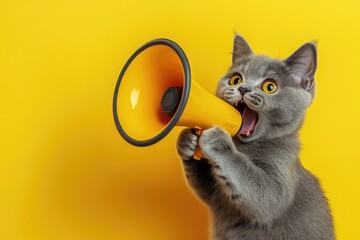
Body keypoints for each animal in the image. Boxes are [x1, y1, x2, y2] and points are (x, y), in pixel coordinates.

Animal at [177, 35, 334, 240]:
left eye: (270, 87)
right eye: (236, 79)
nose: (243, 88)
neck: (244, 147)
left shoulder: (281, 173)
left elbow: (260, 191)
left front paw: (218, 140)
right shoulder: (216, 195)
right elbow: (206, 189)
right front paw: (187, 139)